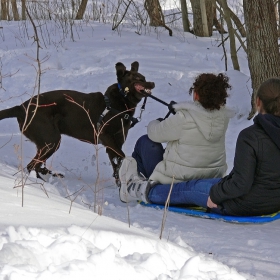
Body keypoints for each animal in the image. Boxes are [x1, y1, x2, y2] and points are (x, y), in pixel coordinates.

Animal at [0, 61, 154, 182]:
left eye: (144, 78)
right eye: (137, 78)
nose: (152, 83)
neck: (122, 101)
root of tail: (21, 107)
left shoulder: (115, 143)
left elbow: (118, 163)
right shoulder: (106, 137)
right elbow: (123, 156)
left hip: (48, 142)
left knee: (34, 166)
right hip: (51, 140)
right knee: (31, 165)